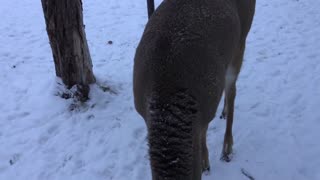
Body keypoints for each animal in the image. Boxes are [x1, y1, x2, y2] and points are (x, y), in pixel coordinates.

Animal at [132, 0, 255, 179]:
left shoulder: (207, 106)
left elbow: (202, 133)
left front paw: (204, 163)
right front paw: (205, 162)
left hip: (241, 40)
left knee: (232, 90)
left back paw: (227, 149)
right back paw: (224, 113)